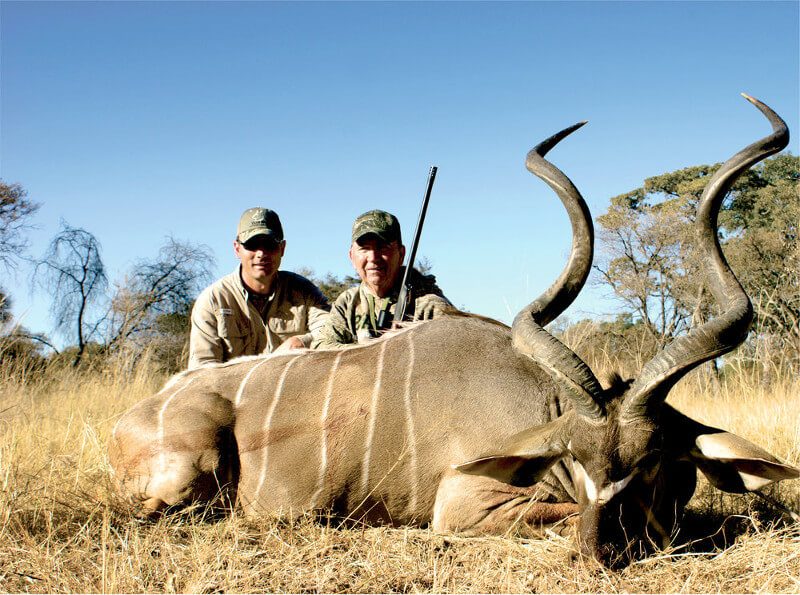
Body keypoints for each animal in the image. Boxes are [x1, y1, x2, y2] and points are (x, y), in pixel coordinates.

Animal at [110, 95, 798, 567]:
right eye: (575, 457)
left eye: (652, 460)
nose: (596, 552)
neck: (538, 403)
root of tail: (136, 415)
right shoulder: (464, 503)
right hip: (188, 474)